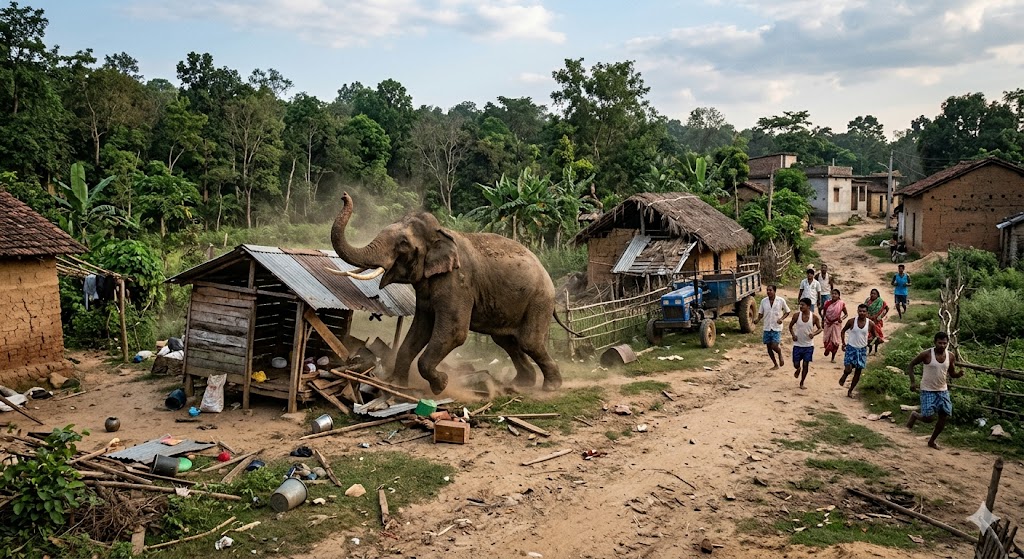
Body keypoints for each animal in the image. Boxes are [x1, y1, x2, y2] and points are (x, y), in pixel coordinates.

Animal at [328, 192, 567, 395]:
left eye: (403, 244)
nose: (343, 195)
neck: (440, 233)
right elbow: (419, 330)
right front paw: (396, 385)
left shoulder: (458, 283)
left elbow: (454, 332)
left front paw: (441, 385)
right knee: (505, 340)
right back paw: (521, 383)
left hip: (539, 300)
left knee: (529, 341)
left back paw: (551, 387)